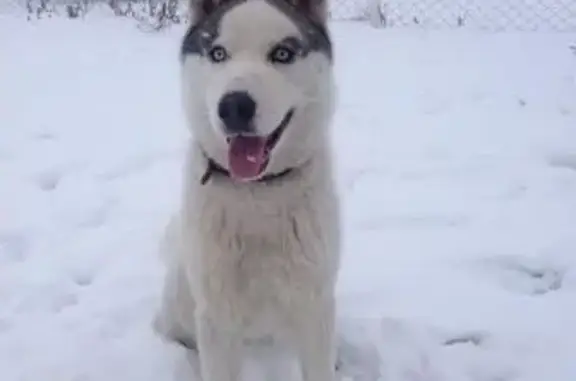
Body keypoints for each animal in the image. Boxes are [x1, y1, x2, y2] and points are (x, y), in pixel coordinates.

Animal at [155, 0, 340, 378]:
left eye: (282, 53)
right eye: (218, 53)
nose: (234, 106)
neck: (258, 195)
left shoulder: (315, 308)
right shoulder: (217, 318)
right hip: (183, 301)